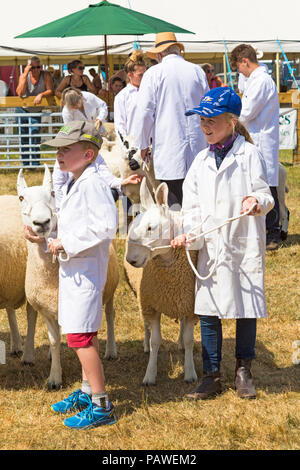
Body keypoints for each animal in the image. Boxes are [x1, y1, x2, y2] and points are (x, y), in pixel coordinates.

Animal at [15, 165, 119, 390]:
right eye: (21, 197)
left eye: (53, 193)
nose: (42, 222)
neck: (51, 277)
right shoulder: (46, 310)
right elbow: (54, 341)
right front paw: (55, 377)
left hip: (110, 291)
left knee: (110, 315)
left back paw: (111, 351)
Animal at [123, 178, 198, 384]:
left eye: (150, 228)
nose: (130, 260)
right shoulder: (151, 305)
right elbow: (155, 341)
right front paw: (150, 374)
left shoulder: (190, 305)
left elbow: (189, 340)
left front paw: (190, 372)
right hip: (142, 299)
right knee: (146, 325)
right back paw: (145, 343)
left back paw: (180, 343)